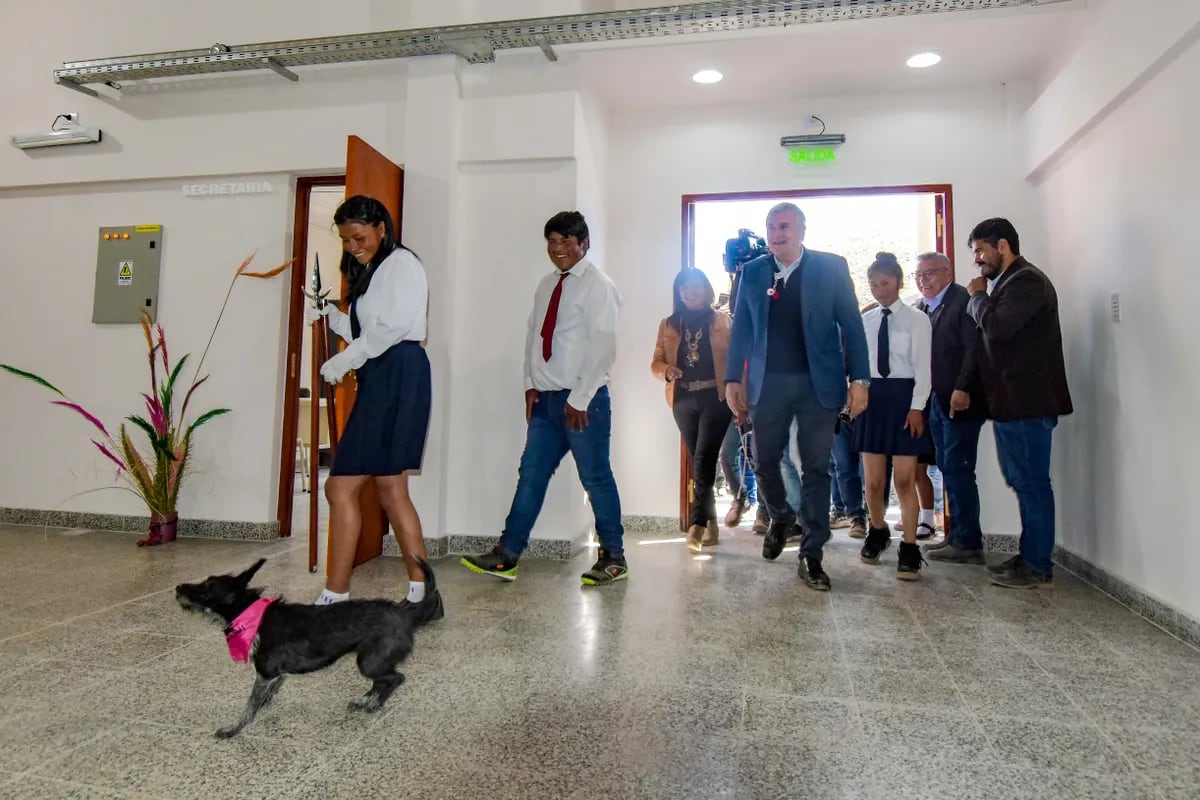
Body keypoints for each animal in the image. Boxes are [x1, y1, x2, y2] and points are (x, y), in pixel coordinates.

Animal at [174, 556, 441, 738]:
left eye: (207, 587)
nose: (177, 587)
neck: (253, 614)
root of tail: (405, 613)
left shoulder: (265, 673)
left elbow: (249, 705)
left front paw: (233, 729)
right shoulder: (275, 675)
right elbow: (266, 695)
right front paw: (264, 705)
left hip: (369, 662)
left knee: (395, 678)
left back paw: (372, 703)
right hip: (373, 661)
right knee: (383, 681)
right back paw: (366, 701)